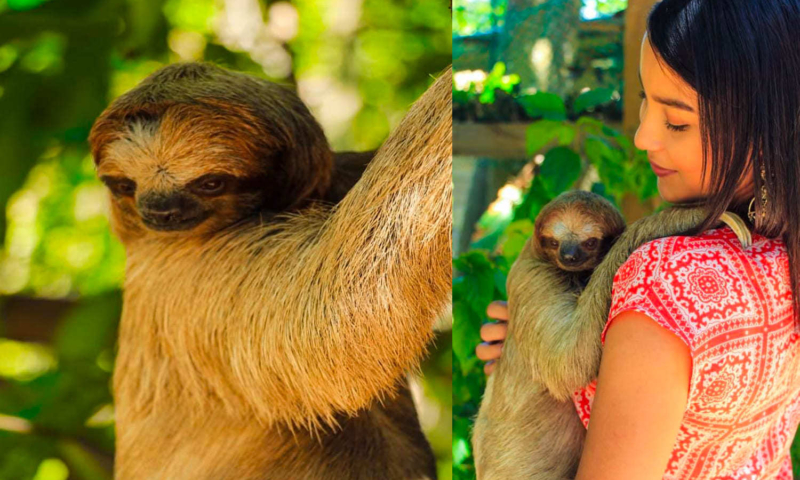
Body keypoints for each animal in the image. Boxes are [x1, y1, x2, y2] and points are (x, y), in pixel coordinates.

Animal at [472, 190, 720, 479]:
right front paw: (689, 213)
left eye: (590, 242)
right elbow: (567, 362)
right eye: (554, 241)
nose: (569, 255)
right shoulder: (531, 277)